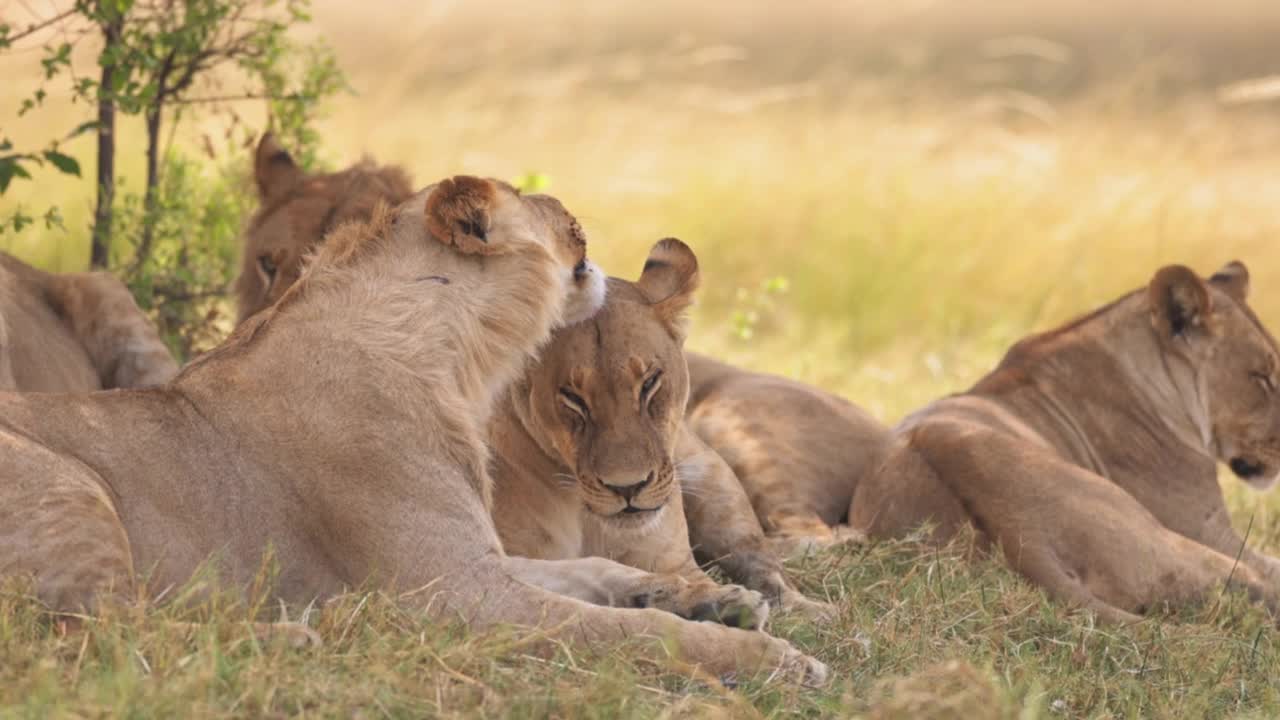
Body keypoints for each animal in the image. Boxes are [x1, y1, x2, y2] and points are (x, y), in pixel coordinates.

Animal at [488, 235, 829, 622]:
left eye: (650, 382)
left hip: (716, 479)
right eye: (573, 397)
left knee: (765, 564)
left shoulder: (676, 563)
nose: (628, 488)